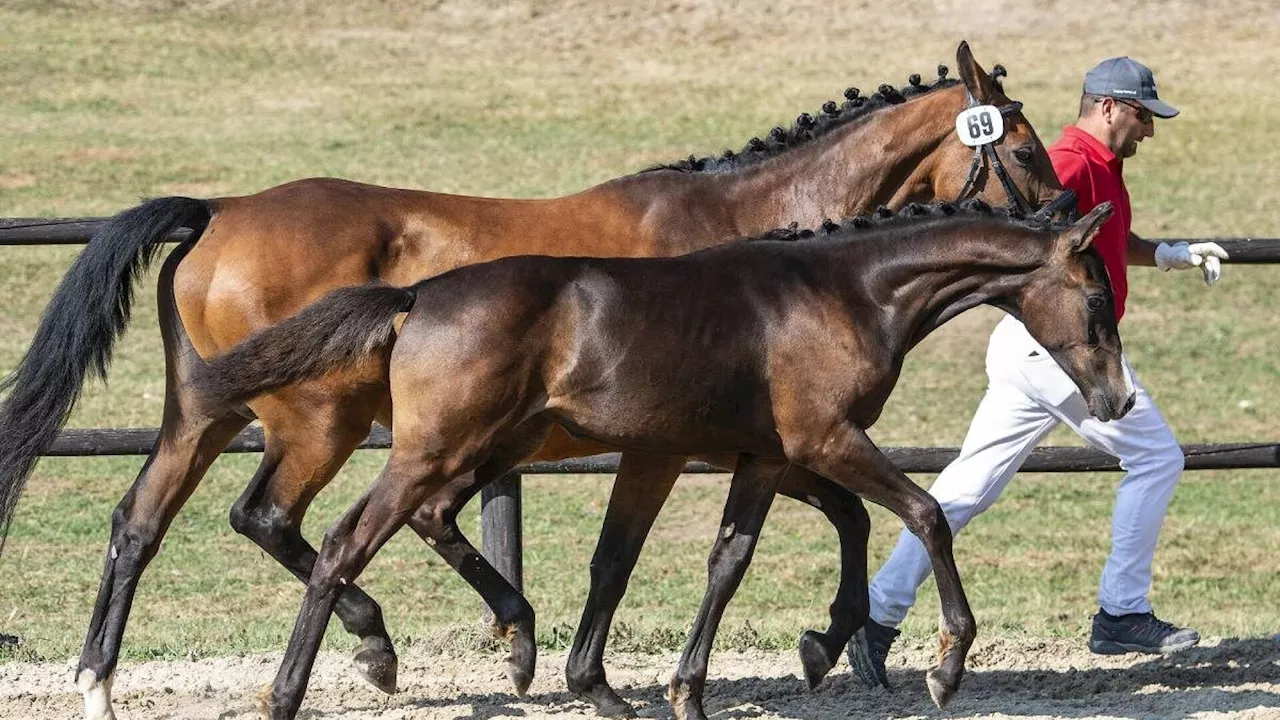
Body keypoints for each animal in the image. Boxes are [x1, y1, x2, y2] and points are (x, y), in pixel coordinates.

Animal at [189, 197, 1131, 717]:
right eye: (1096, 299)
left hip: (488, 447)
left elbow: (737, 557)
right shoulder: (827, 439)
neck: (846, 293)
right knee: (341, 542)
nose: (1117, 400)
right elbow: (926, 512)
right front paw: (945, 667)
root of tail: (416, 295)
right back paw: (296, 691)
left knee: (405, 525)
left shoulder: (766, 456)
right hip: (434, 450)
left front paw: (722, 679)